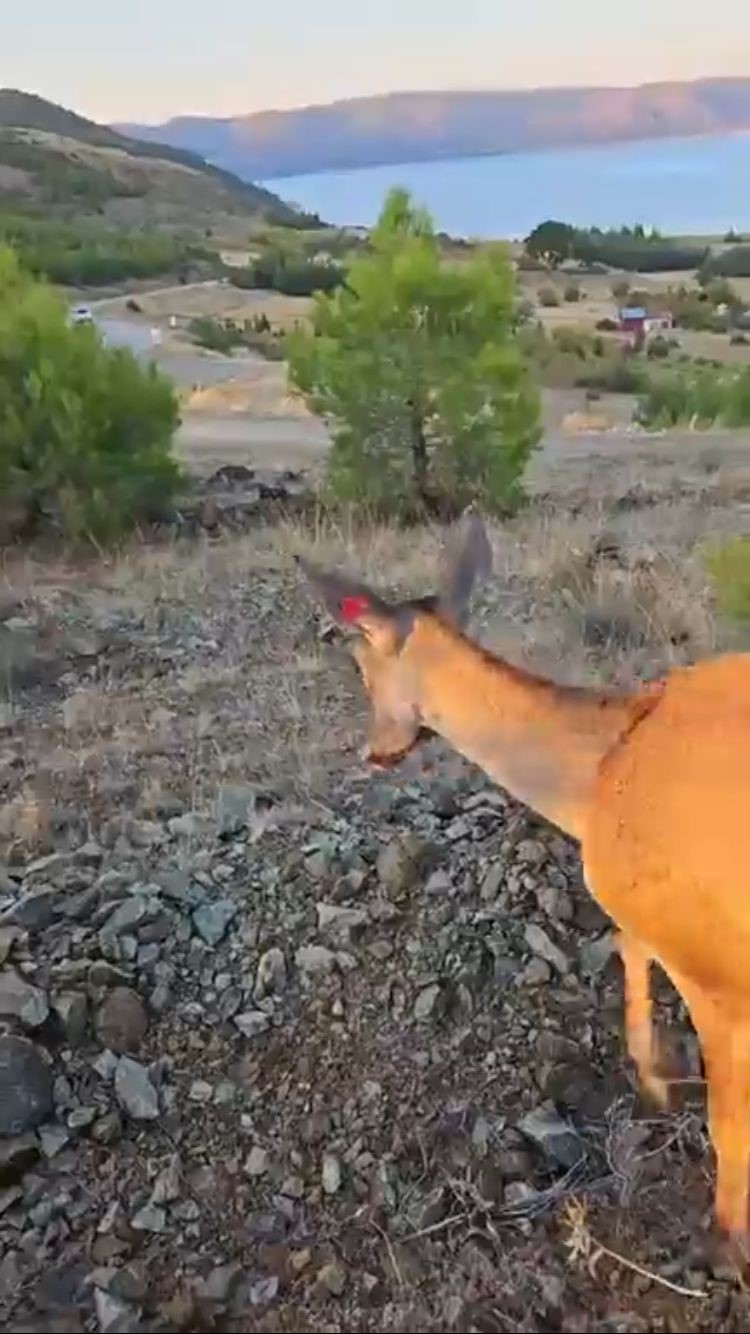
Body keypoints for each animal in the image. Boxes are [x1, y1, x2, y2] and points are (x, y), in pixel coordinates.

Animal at [298, 509, 750, 1259]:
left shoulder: (711, 962)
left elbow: (728, 1114)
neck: (594, 777)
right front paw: (654, 1081)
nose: (374, 750)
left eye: (359, 663)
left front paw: (725, 1236)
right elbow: (628, 948)